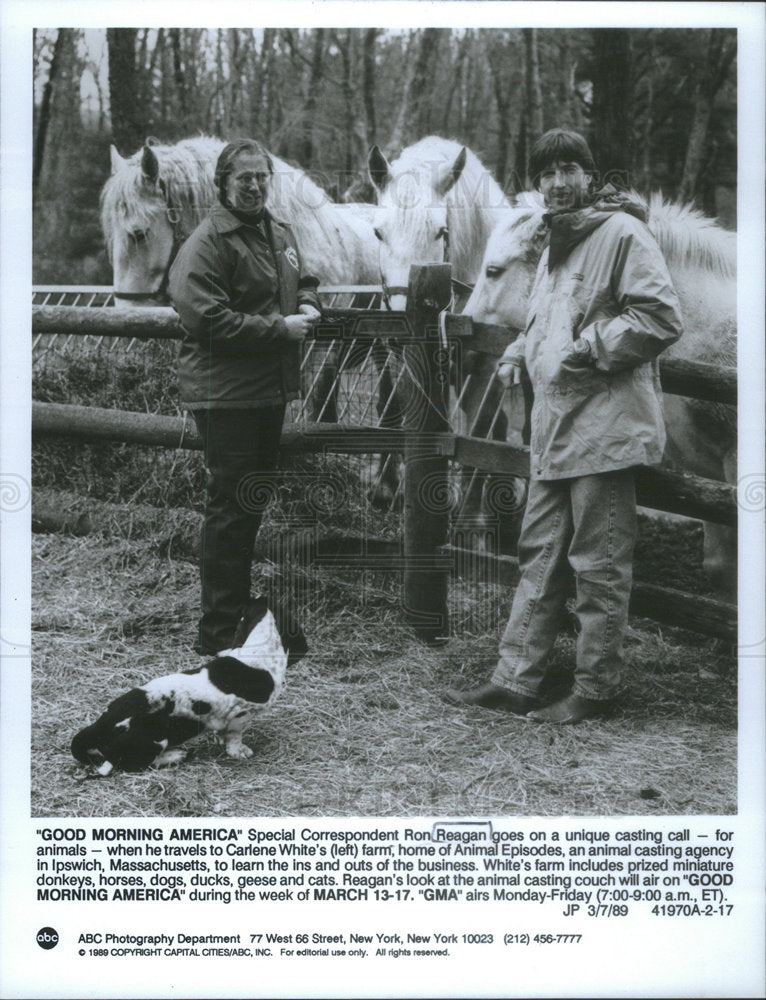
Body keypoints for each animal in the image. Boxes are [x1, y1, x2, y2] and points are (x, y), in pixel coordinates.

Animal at [71, 596, 306, 776]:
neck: (256, 653)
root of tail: (100, 724)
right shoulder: (241, 715)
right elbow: (235, 737)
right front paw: (239, 751)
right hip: (154, 739)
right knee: (131, 763)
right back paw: (176, 755)